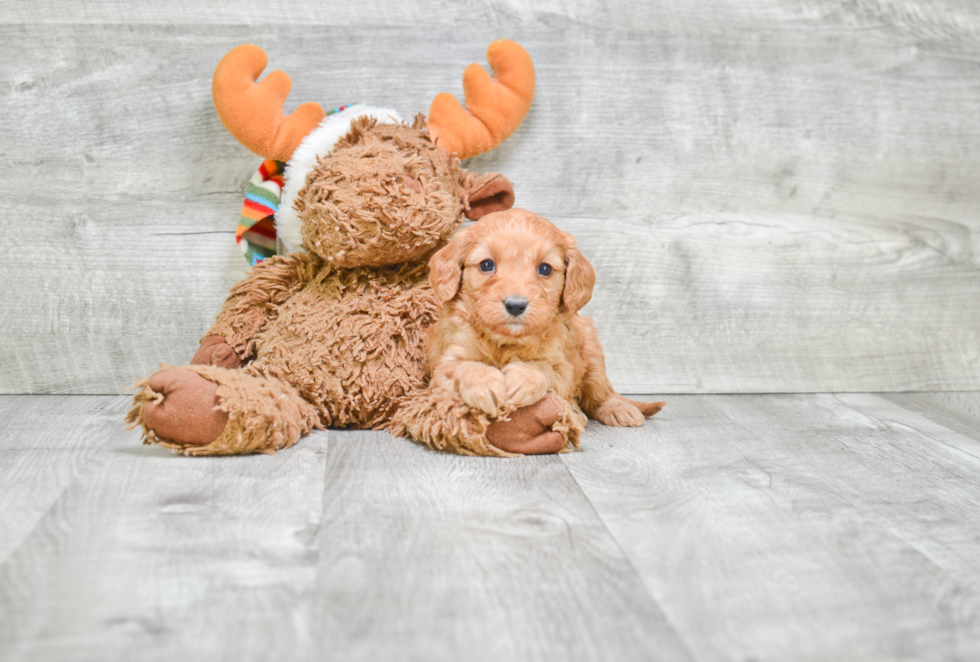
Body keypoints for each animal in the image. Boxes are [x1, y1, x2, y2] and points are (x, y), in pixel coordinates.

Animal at [424, 209, 664, 436]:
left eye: (545, 269)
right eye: (486, 265)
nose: (515, 305)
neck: (507, 341)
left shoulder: (562, 369)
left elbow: (542, 368)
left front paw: (521, 378)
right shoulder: (444, 364)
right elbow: (463, 366)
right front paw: (484, 384)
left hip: (592, 350)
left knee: (600, 394)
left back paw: (617, 409)